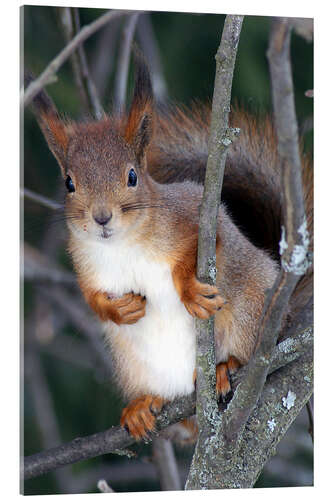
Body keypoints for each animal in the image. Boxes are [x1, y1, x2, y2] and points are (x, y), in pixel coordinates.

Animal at [26, 51, 312, 442]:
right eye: (69, 183)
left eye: (132, 176)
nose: (101, 218)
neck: (122, 245)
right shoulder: (86, 263)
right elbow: (91, 296)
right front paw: (118, 309)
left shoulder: (195, 212)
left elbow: (202, 248)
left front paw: (189, 290)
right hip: (133, 364)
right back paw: (143, 407)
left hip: (250, 313)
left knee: (247, 353)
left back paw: (225, 367)